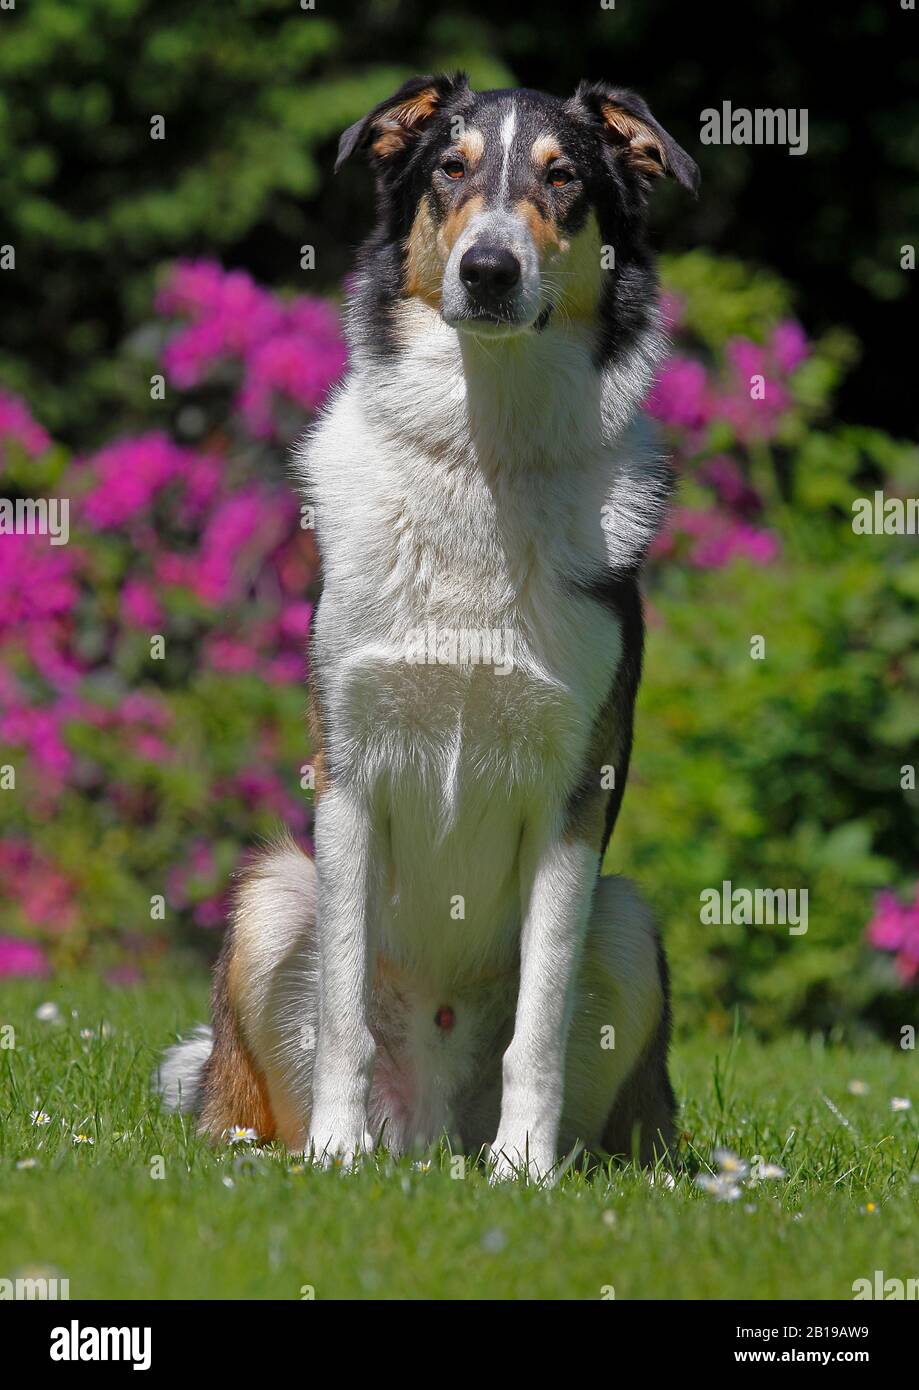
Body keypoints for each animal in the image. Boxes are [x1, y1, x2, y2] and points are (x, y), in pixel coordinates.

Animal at [159, 67, 695, 1173]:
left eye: (564, 178)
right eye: (449, 168)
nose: (488, 270)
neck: (478, 454)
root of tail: (431, 1132)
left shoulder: (573, 793)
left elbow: (538, 1021)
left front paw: (524, 1172)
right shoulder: (351, 774)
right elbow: (345, 1007)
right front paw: (333, 1156)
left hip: (626, 921)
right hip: (274, 895)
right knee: (241, 1091)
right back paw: (282, 1152)